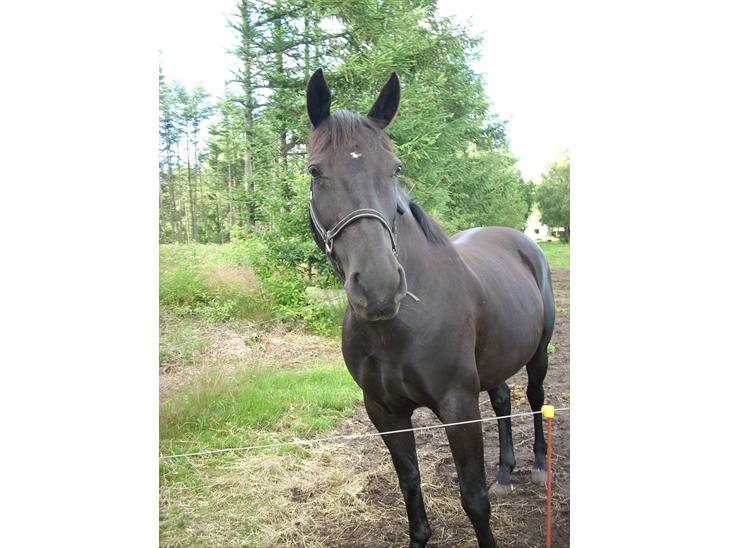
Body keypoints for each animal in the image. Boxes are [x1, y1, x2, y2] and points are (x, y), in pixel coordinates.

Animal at [305, 69, 555, 548]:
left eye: (395, 168)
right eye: (314, 170)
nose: (379, 288)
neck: (397, 327)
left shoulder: (458, 407)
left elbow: (474, 497)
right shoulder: (385, 412)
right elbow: (410, 483)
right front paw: (418, 537)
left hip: (539, 354)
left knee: (534, 399)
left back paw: (535, 466)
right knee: (502, 399)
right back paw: (505, 473)